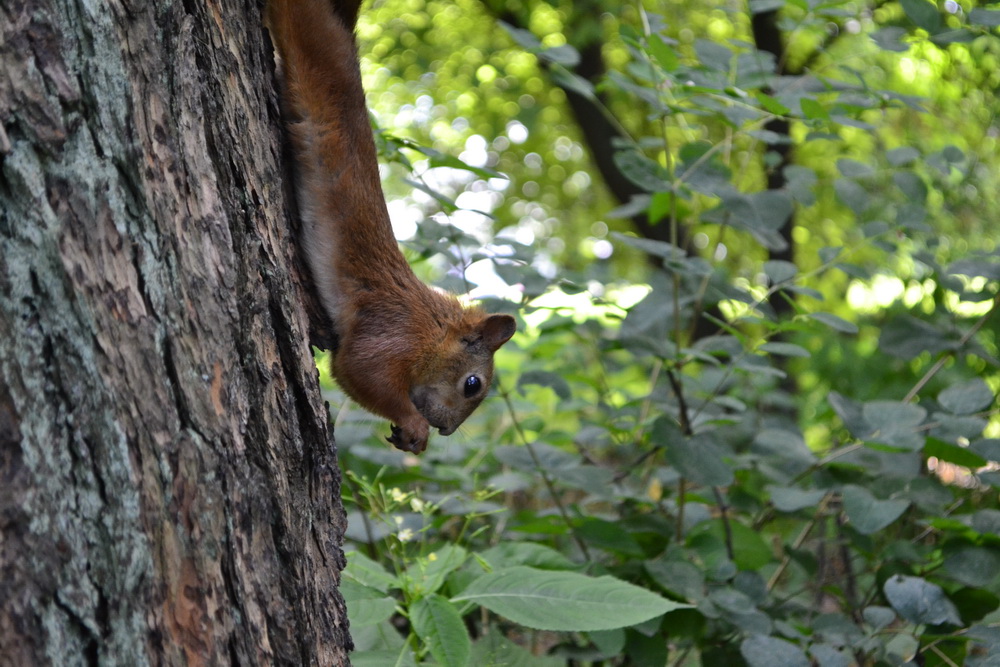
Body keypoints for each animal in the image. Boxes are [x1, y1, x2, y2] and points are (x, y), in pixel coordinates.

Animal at [266, 0, 516, 454]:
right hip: (309, 36)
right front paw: (414, 425)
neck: (431, 328)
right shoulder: (393, 334)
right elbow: (359, 370)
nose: (446, 430)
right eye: (472, 384)